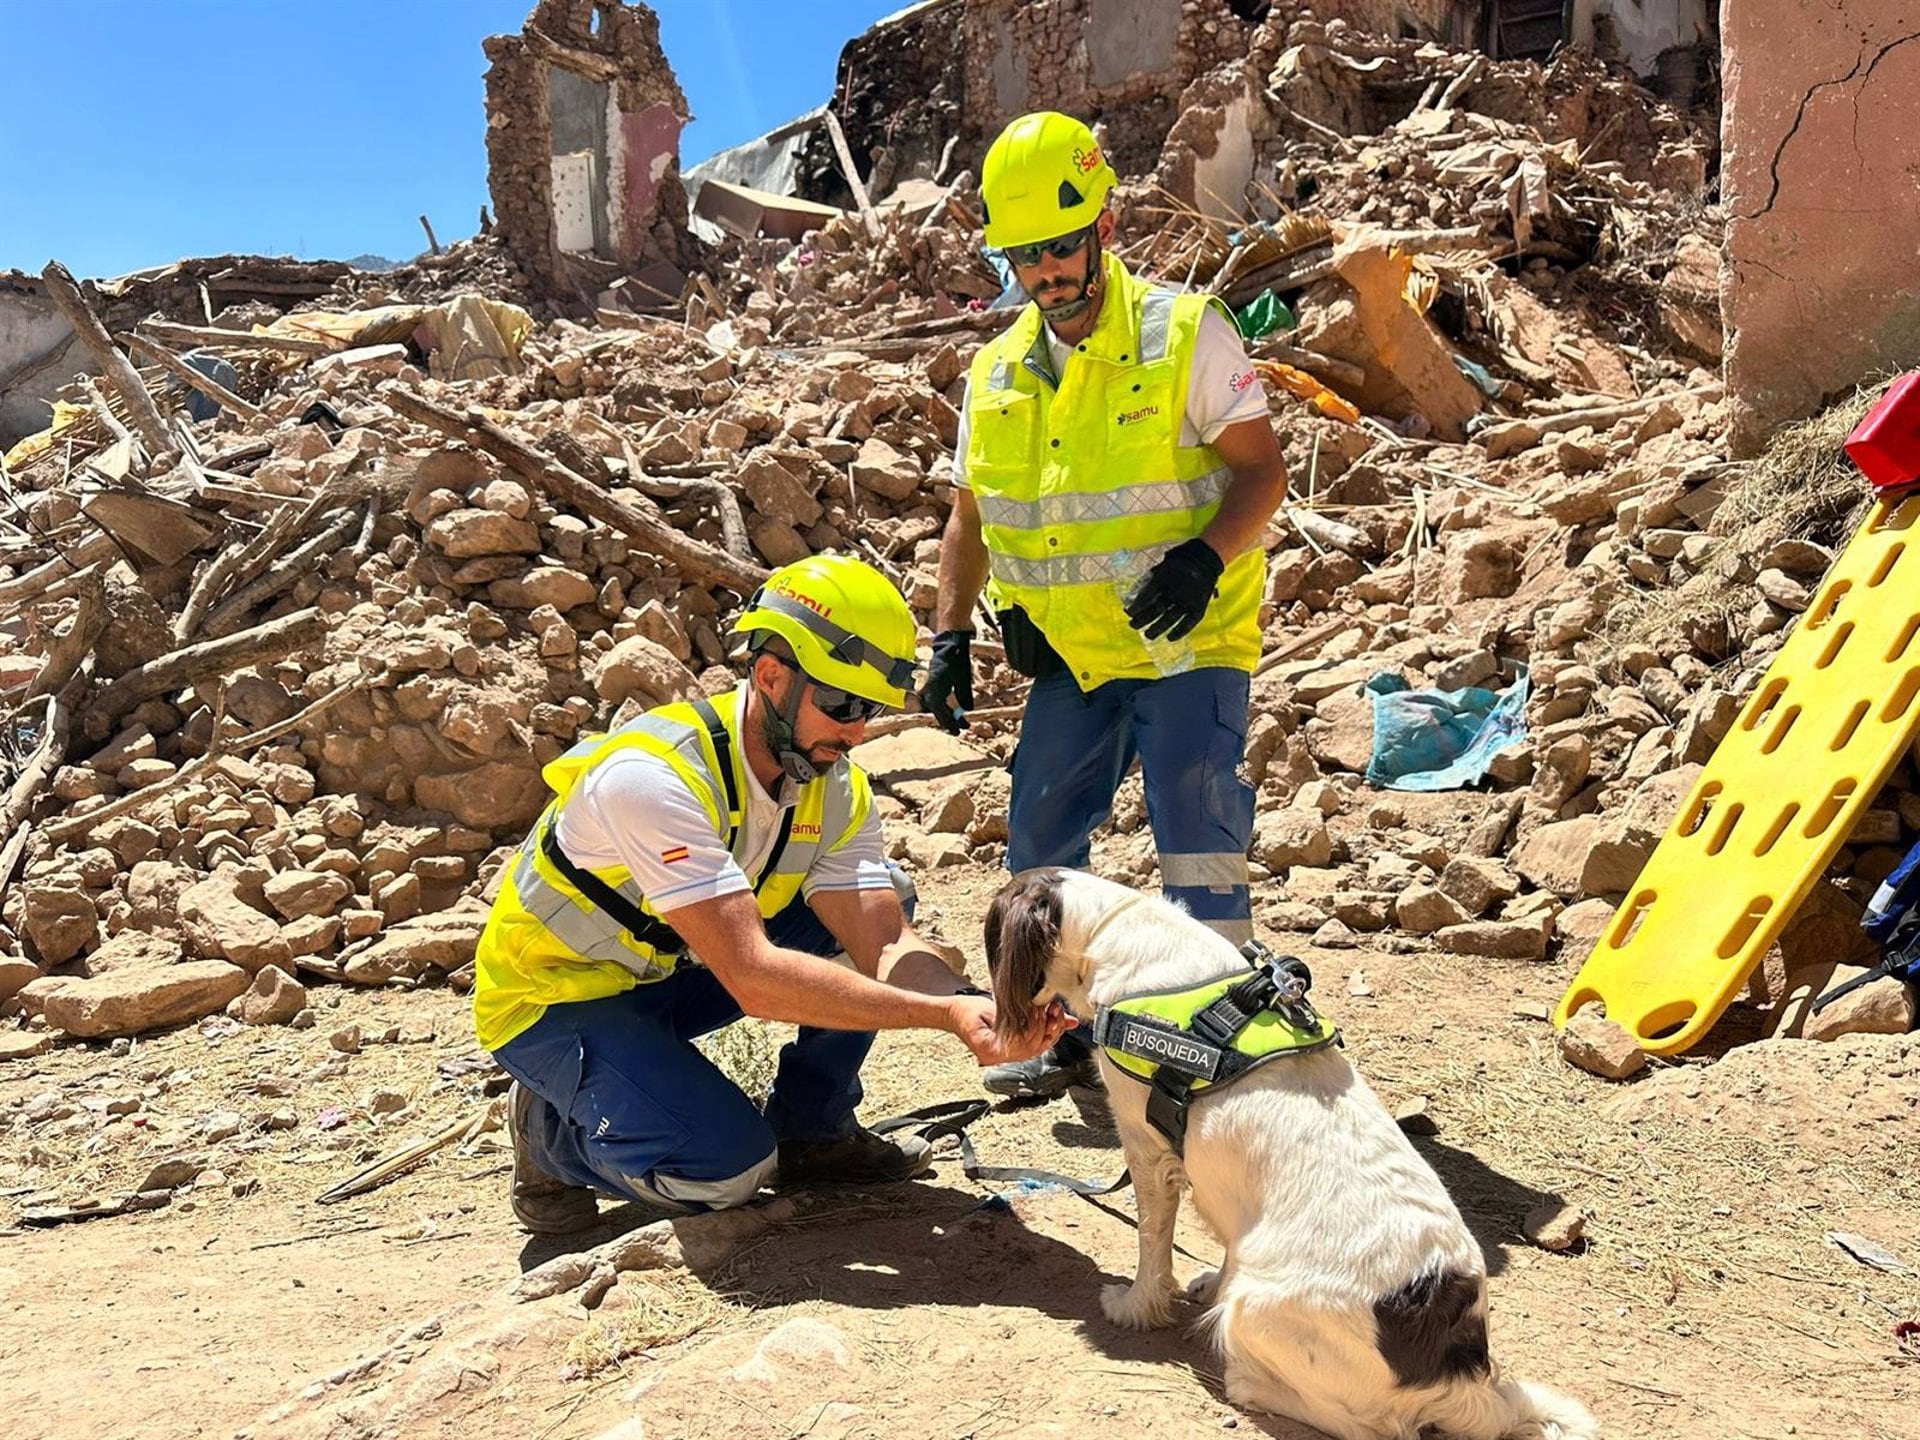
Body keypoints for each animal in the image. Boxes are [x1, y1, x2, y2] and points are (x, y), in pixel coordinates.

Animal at [983, 867, 1597, 1440]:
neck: (1120, 927)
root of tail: (1463, 1378)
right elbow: (1228, 1241)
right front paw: (1211, 1280)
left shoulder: (1148, 1148)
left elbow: (1152, 1245)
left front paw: (1135, 1305)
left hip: (1256, 1313)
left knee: (1371, 1426)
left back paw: (1249, 1382)